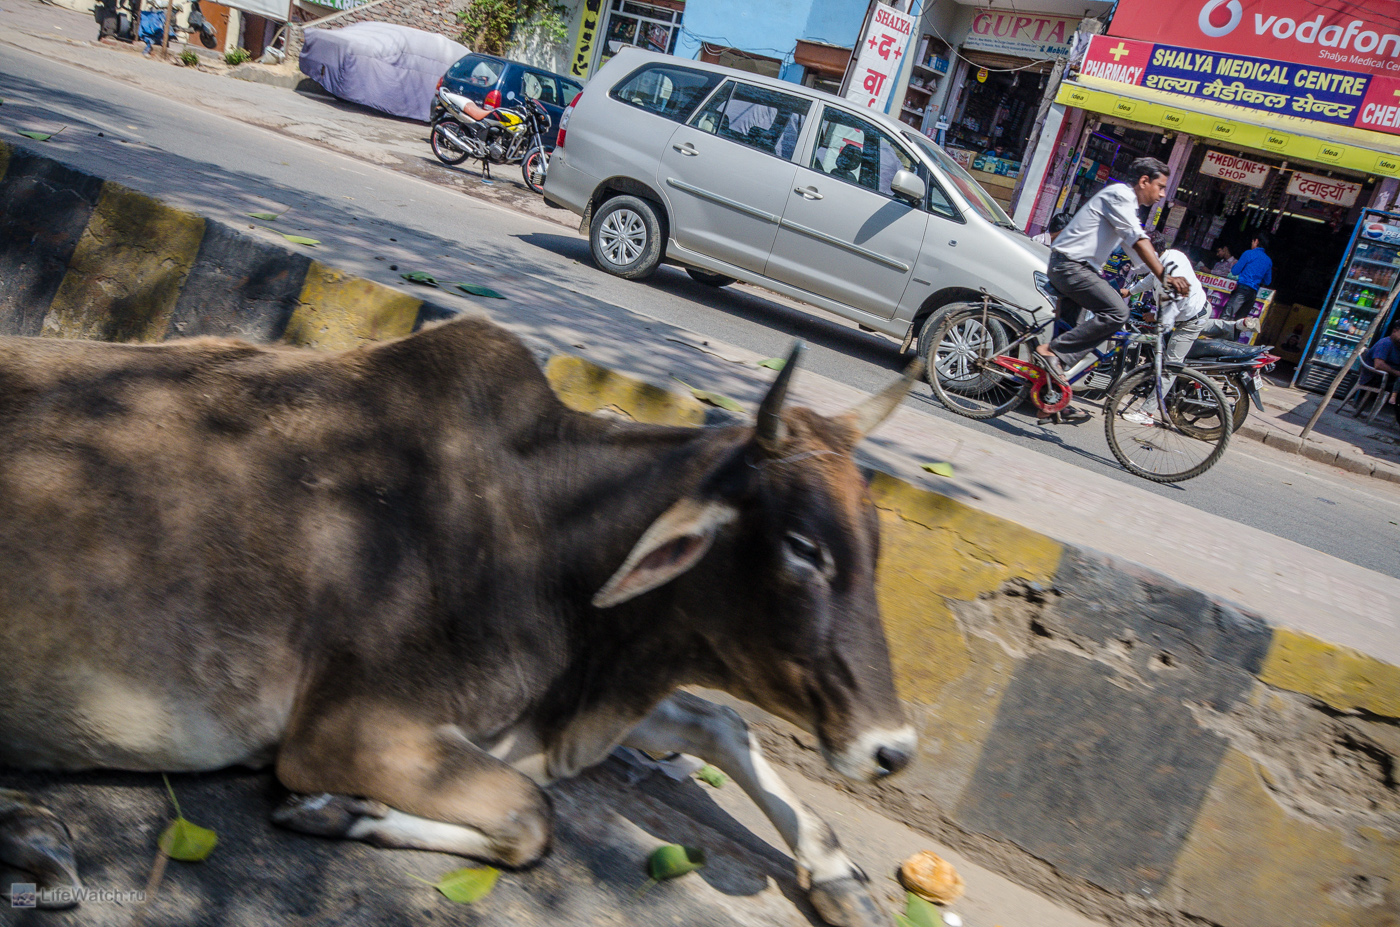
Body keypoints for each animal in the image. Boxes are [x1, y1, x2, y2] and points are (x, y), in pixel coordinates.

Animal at [0, 316, 919, 925]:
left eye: (878, 545)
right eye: (804, 546)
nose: (893, 749)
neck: (552, 536)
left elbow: (720, 721)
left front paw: (838, 872)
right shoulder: (346, 727)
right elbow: (532, 819)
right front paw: (338, 810)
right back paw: (31, 829)